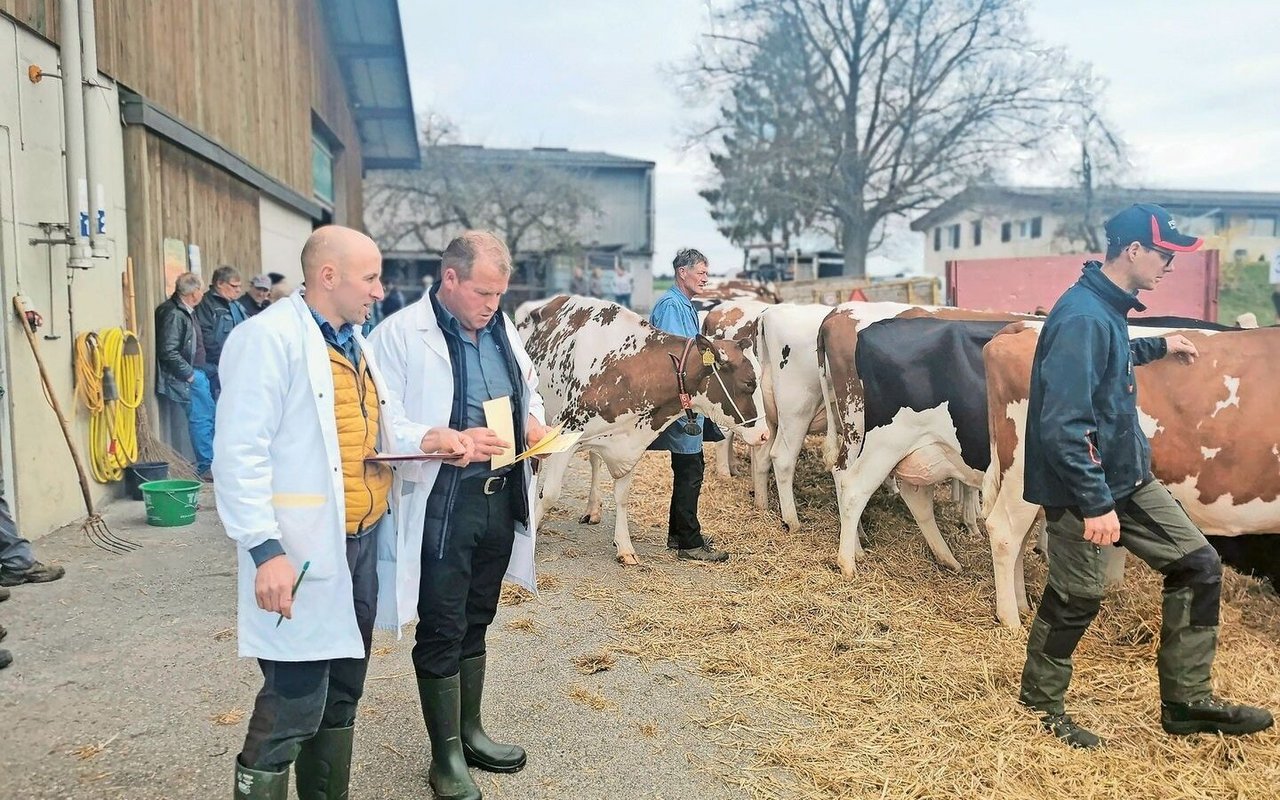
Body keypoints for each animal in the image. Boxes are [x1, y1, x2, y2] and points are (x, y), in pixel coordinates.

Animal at [519, 293, 768, 560]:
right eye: (749, 383)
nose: (764, 435)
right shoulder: (566, 432)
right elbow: (550, 494)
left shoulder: (629, 442)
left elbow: (622, 496)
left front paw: (625, 547)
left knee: (594, 460)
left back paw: (592, 508)